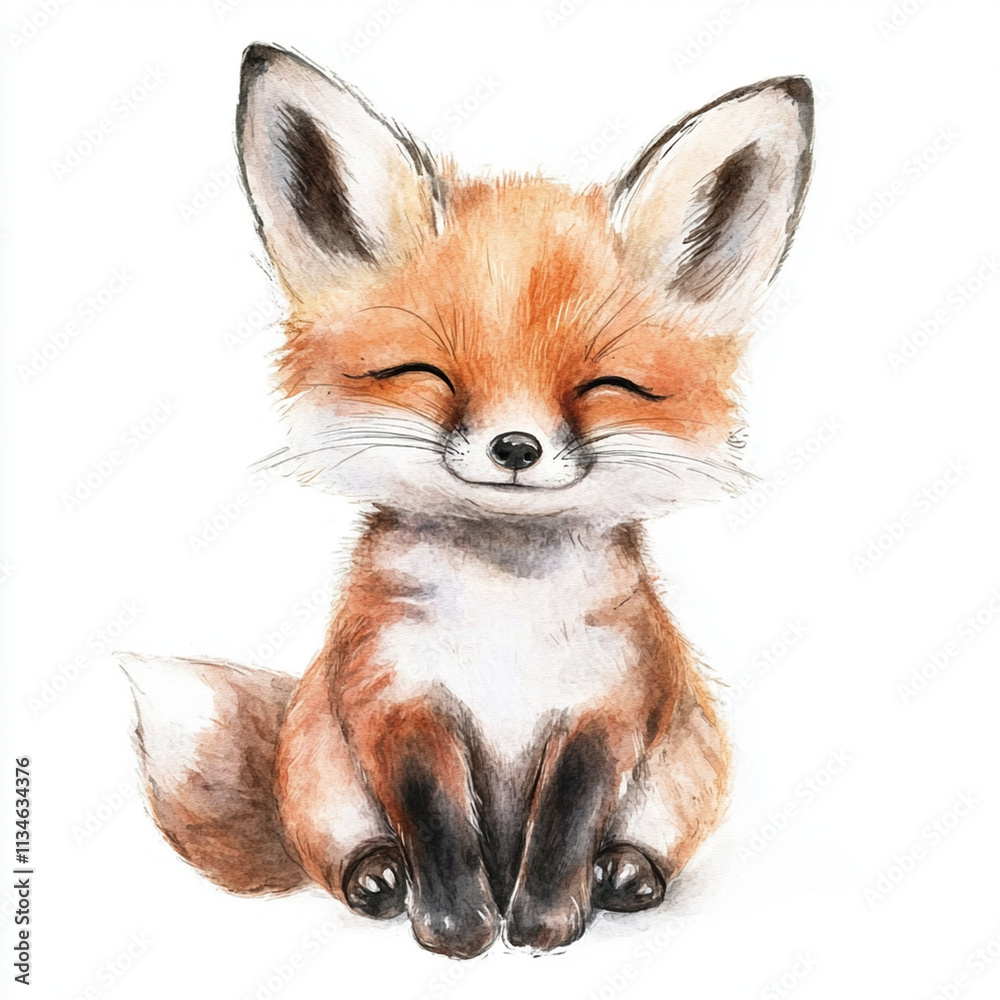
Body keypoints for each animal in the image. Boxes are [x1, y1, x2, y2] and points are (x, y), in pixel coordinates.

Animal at [123, 44, 813, 959]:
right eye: (426, 373)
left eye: (604, 386)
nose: (516, 448)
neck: (505, 610)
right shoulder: (397, 699)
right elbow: (438, 823)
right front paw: (457, 928)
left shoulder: (607, 709)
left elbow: (565, 824)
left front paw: (545, 925)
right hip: (320, 775)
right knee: (342, 856)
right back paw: (377, 878)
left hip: (685, 767)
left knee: (637, 841)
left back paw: (626, 874)